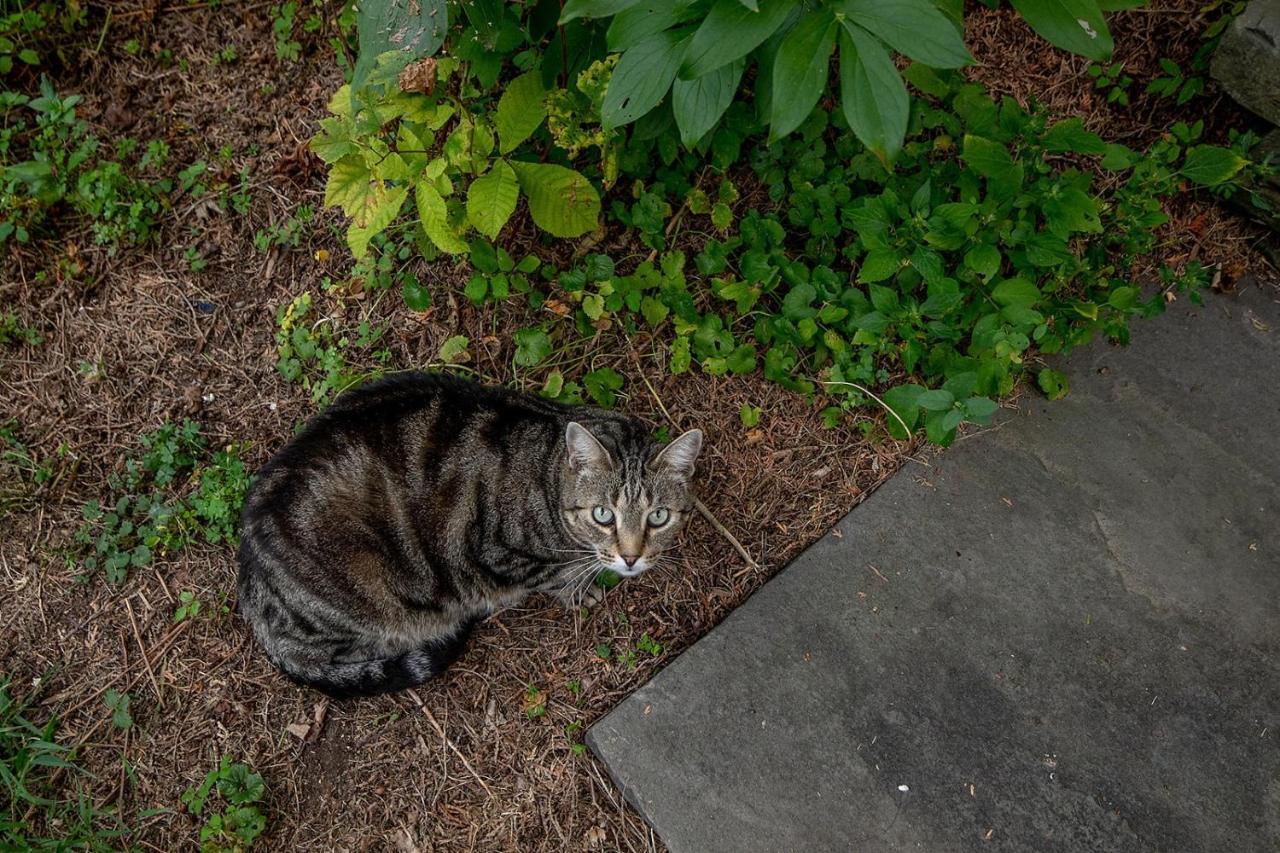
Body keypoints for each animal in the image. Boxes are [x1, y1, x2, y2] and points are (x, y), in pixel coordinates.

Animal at [235, 371, 706, 696]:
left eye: (658, 516)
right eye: (603, 514)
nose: (631, 557)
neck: (548, 475)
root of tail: (252, 583)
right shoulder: (498, 551)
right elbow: (552, 575)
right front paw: (579, 588)